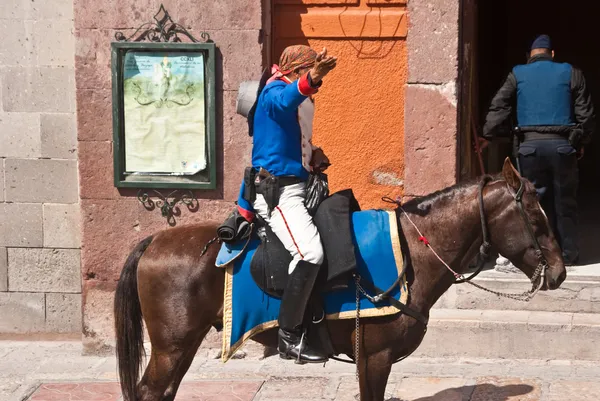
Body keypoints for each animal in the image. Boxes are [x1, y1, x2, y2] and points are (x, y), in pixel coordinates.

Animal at [113, 159, 568, 400]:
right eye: (535, 217)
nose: (560, 272)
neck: (414, 253)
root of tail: (154, 240)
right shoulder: (375, 357)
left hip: (183, 344)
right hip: (173, 345)